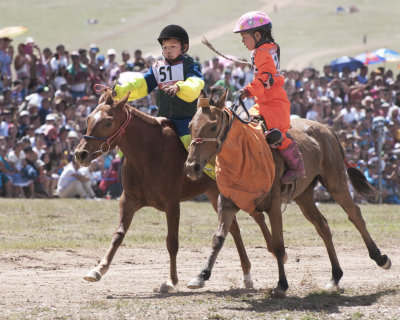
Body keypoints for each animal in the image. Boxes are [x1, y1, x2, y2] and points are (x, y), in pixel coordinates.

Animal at [74, 89, 274, 292]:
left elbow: (172, 242)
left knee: (257, 217)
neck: (150, 153)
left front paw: (171, 280)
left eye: (108, 122)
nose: (80, 154)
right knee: (234, 228)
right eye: (88, 119)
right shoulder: (128, 200)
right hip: (215, 195)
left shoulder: (172, 205)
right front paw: (98, 269)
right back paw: (247, 275)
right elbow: (118, 234)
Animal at [184, 90, 390, 298]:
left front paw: (282, 284)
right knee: (322, 225)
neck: (246, 154)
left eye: (213, 126)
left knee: (354, 214)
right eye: (190, 125)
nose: (192, 166)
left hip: (336, 183)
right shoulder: (227, 202)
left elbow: (278, 245)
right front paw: (201, 275)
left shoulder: (274, 206)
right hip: (304, 196)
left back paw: (380, 257)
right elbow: (218, 238)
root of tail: (326, 129)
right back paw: (335, 276)